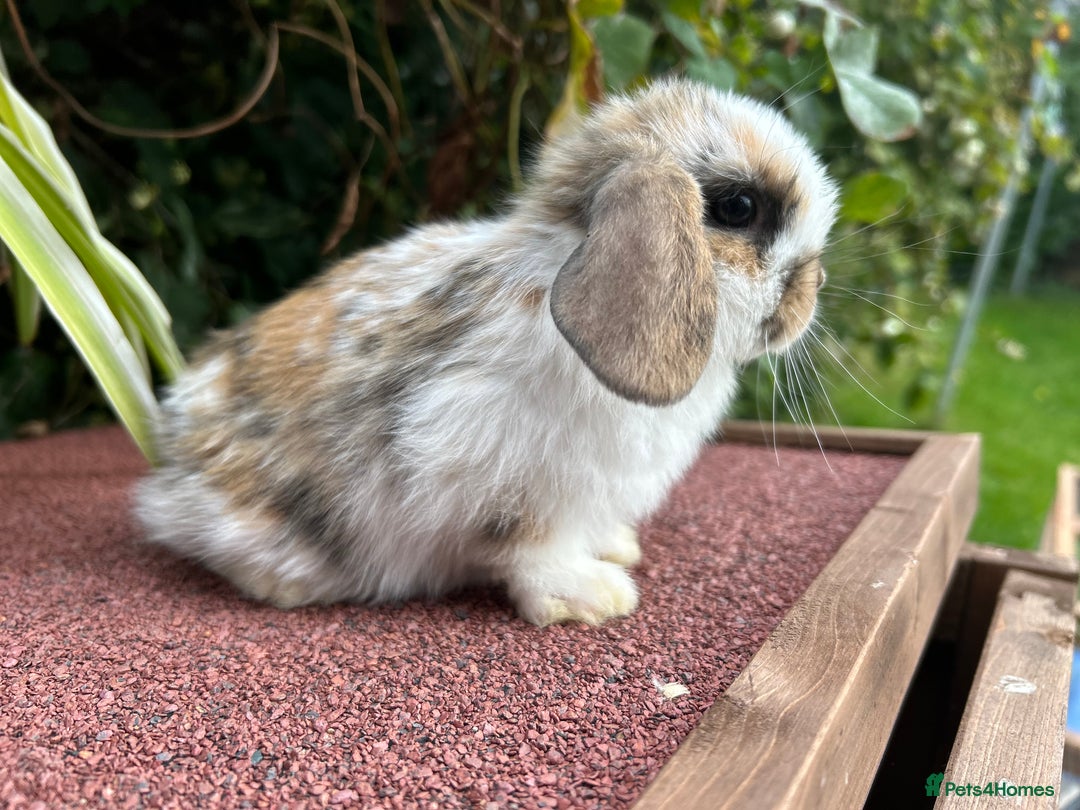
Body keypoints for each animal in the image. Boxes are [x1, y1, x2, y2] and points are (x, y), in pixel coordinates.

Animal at [135, 78, 839, 627]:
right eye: (738, 207)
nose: (810, 291)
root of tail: (171, 450)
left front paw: (616, 549)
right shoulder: (495, 462)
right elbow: (530, 546)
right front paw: (592, 597)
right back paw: (286, 583)